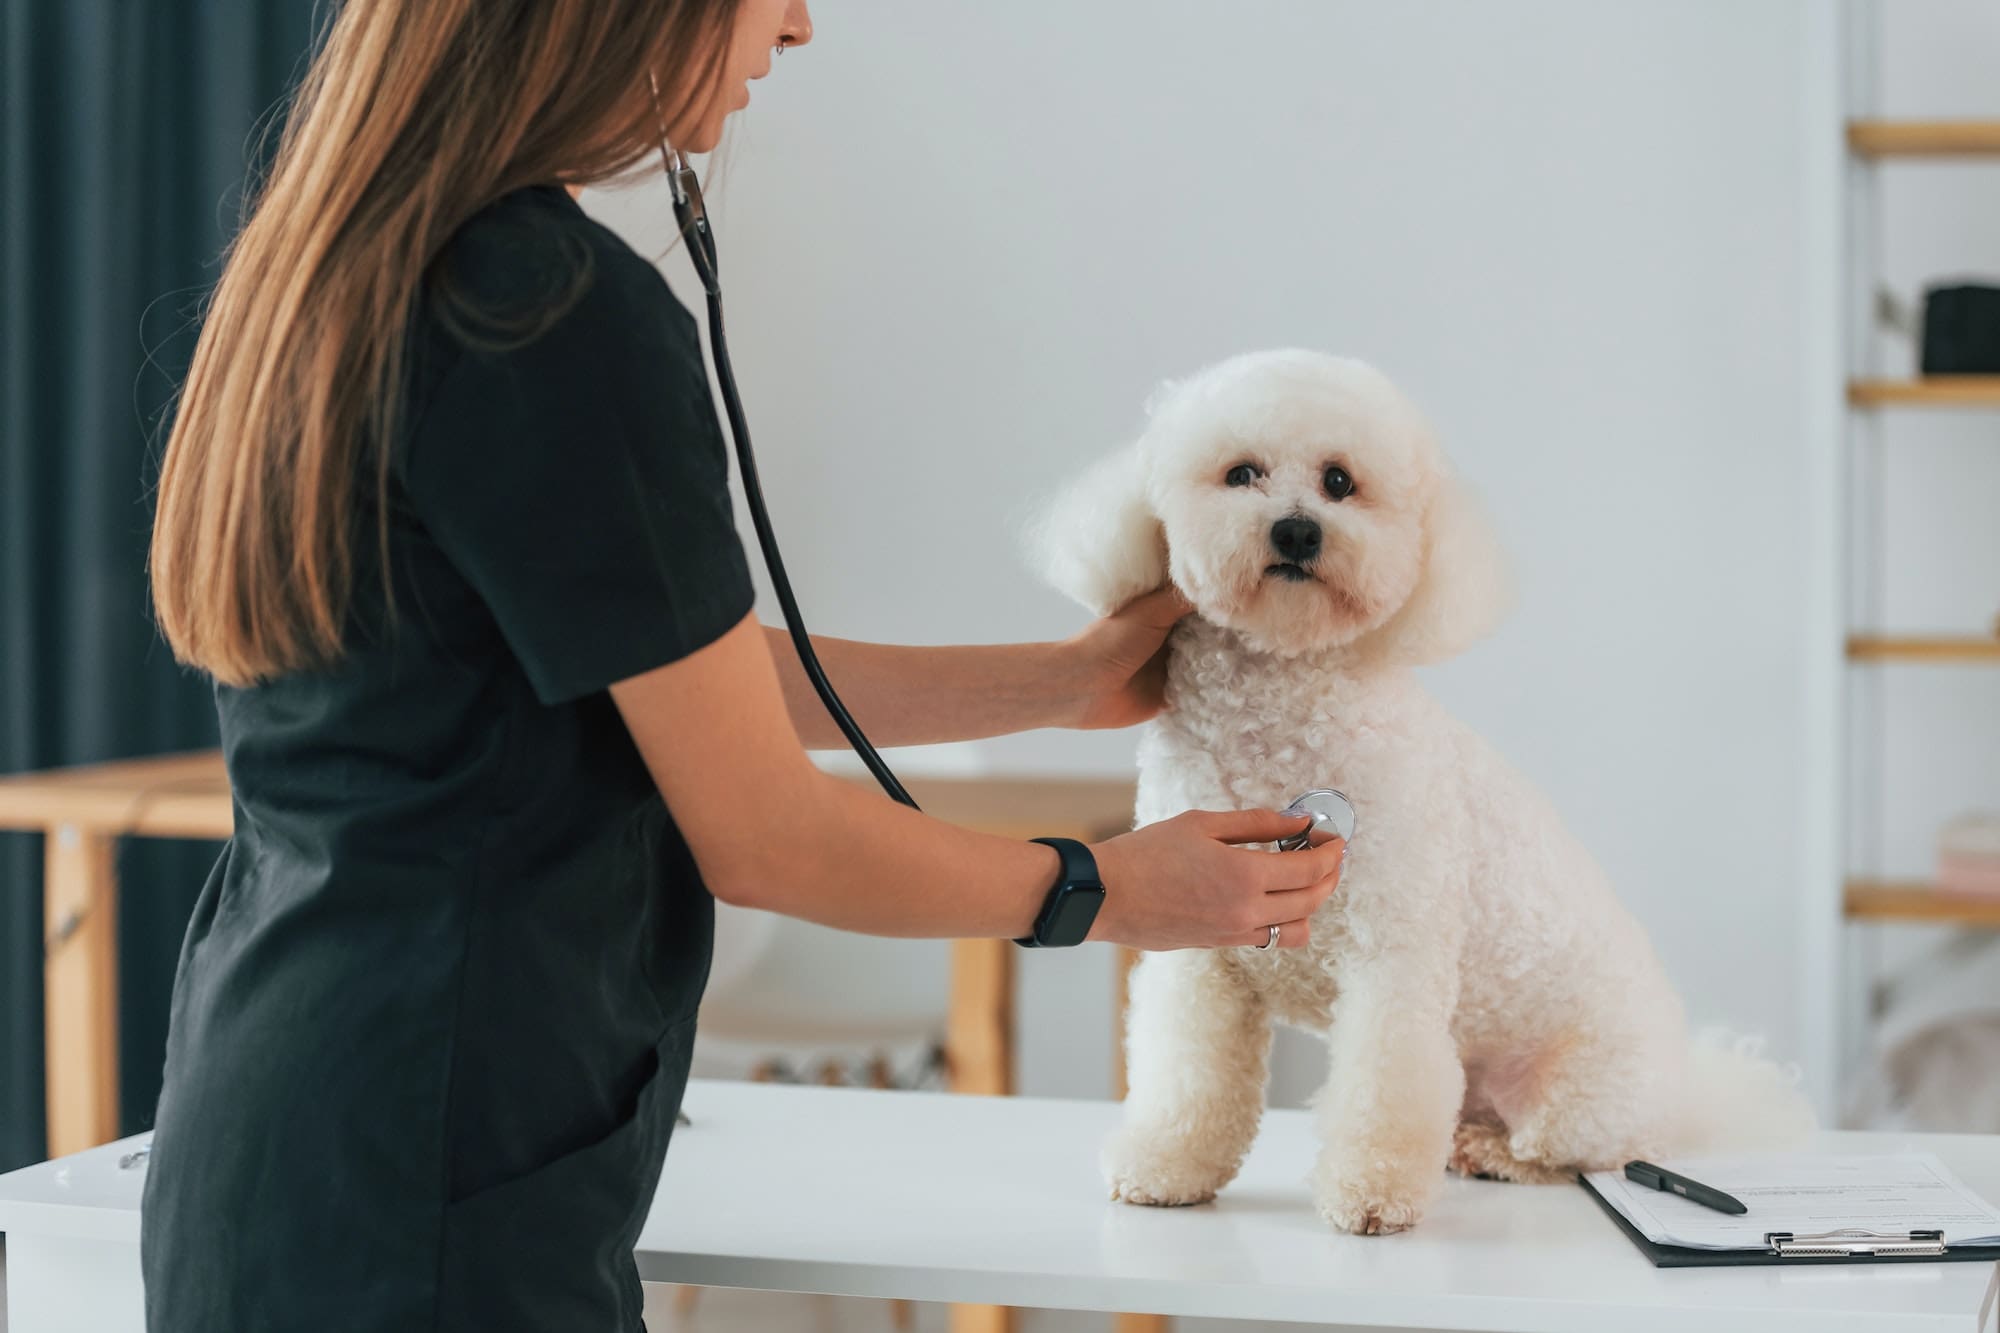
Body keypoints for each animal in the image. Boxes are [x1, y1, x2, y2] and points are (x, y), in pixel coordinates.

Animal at [1032, 348, 1816, 1232]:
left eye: (1340, 481)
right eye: (1242, 473)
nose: (1297, 529)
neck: (1280, 700)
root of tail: (1694, 1092)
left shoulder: (1393, 954)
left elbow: (1383, 1083)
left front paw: (1370, 1192)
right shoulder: (1201, 949)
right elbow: (1186, 1074)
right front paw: (1167, 1166)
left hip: (1580, 1094)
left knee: (1576, 1155)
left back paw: (1491, 1152)